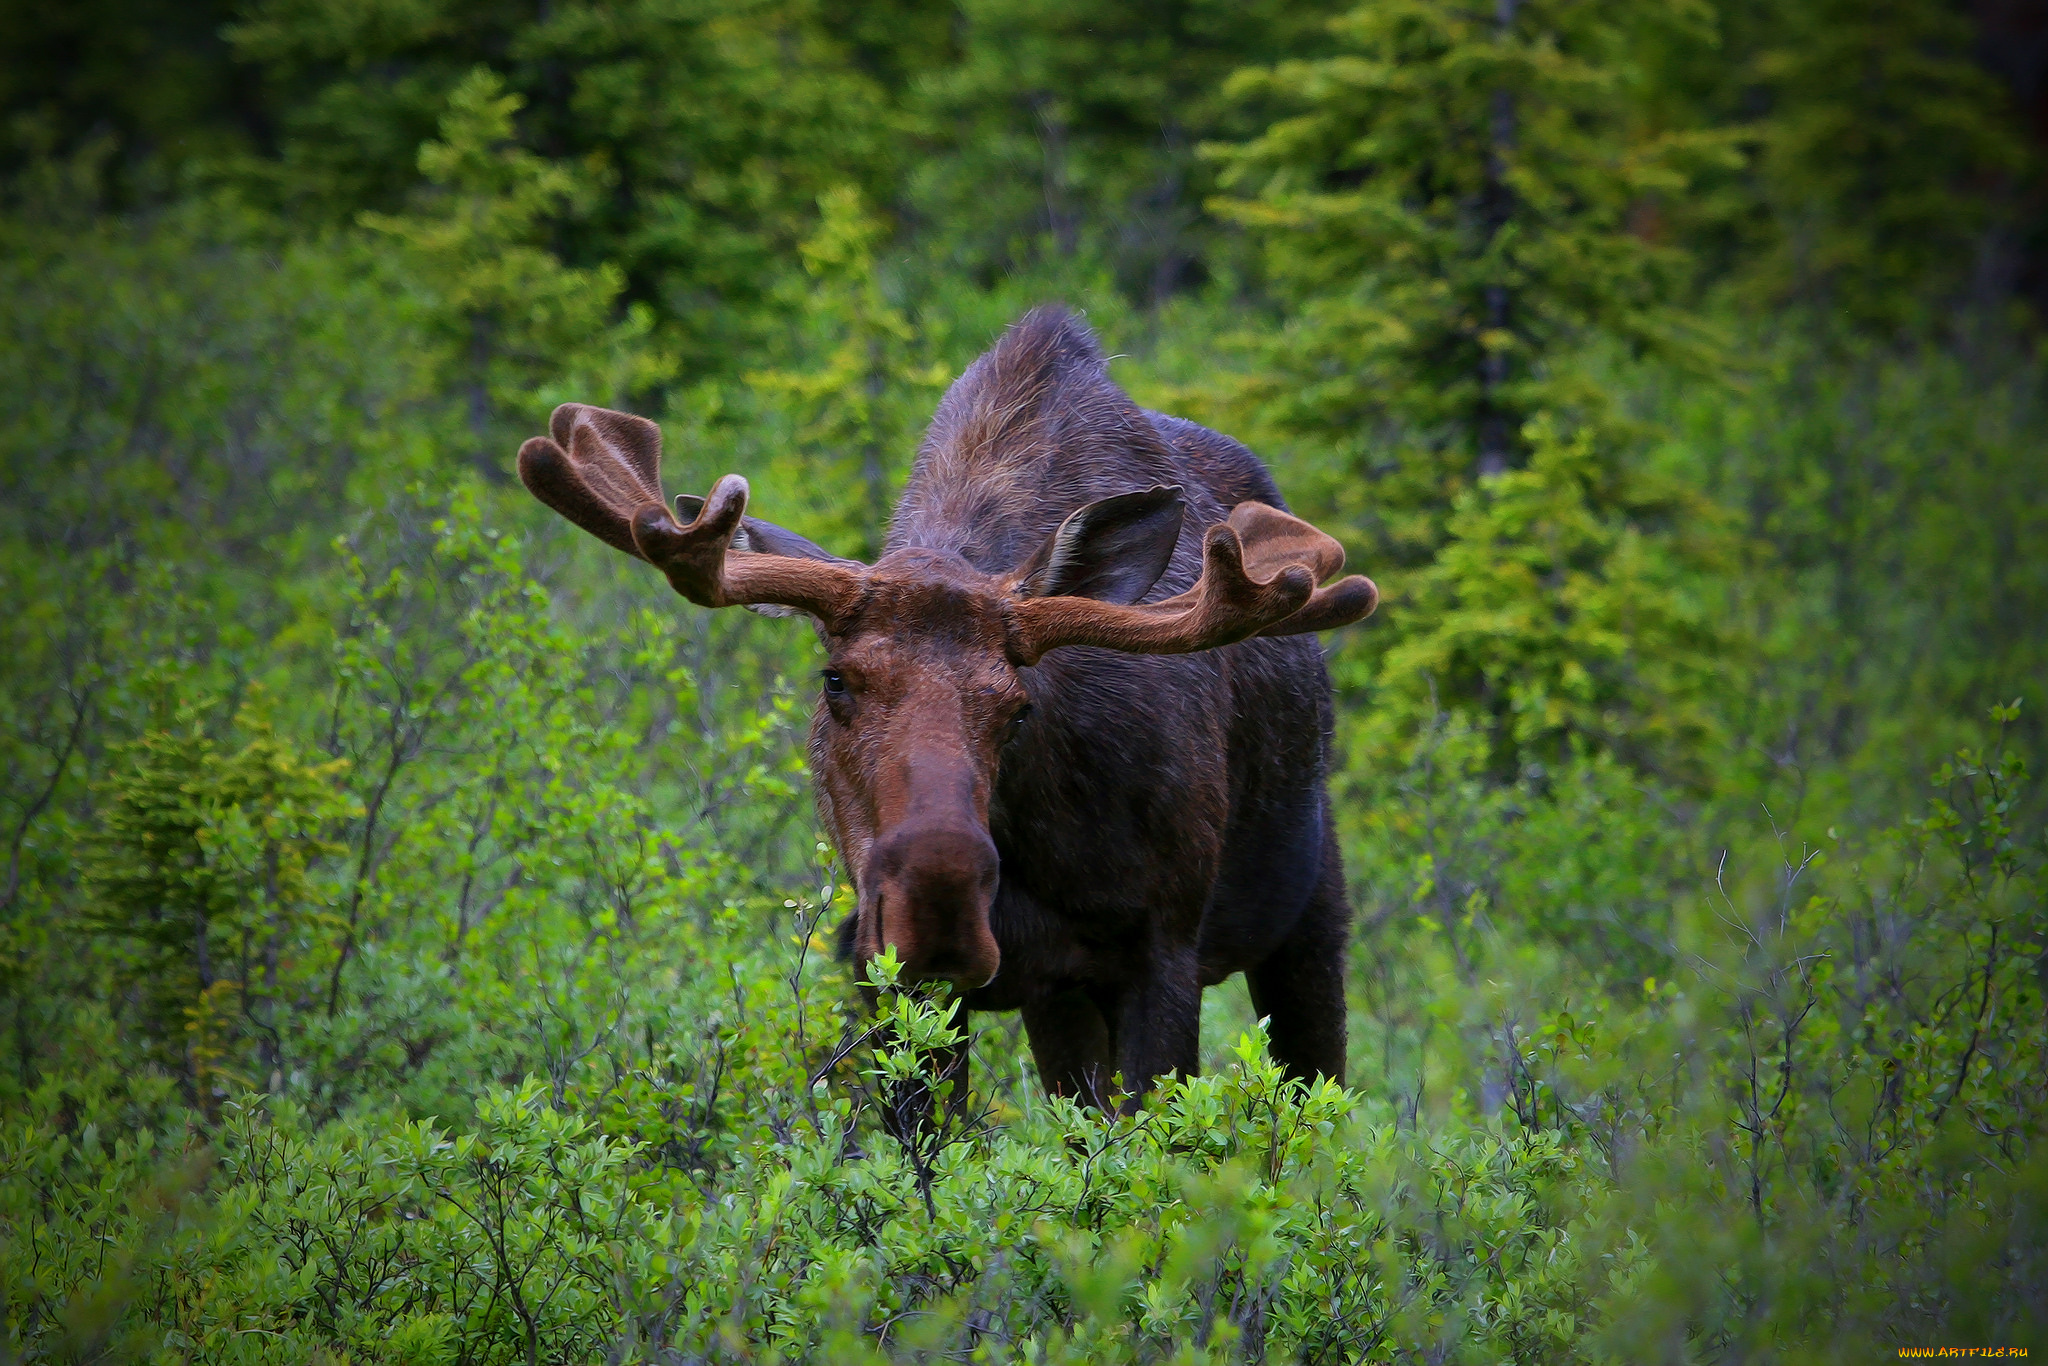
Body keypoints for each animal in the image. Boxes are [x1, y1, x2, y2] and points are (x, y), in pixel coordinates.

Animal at [512, 309, 1376, 1114]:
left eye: (1019, 706)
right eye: (835, 680)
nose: (938, 909)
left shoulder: (1163, 949)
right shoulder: (889, 977)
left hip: (1308, 922)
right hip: (1060, 1003)